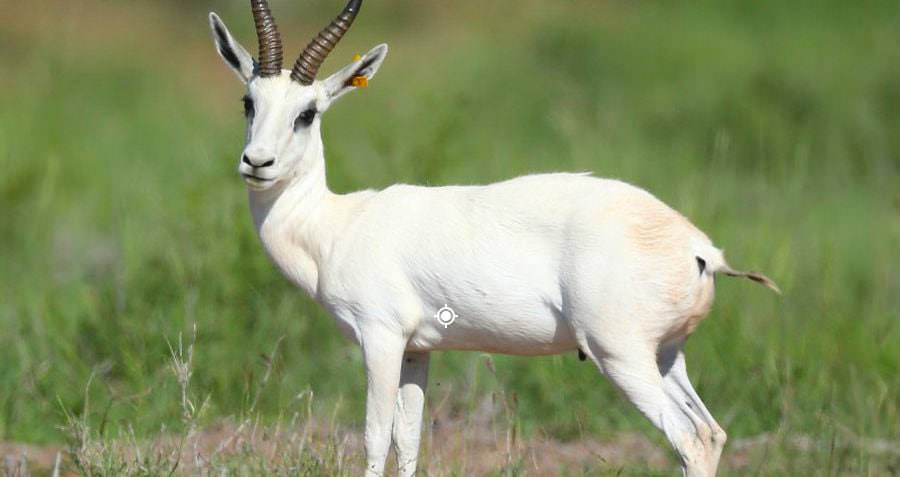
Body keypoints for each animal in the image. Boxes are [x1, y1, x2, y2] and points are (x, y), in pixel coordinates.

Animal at [207, 1, 779, 475]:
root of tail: (700, 249)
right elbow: (408, 441)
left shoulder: (381, 338)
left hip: (621, 356)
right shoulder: (418, 350)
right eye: (248, 101)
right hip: (666, 357)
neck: (335, 226)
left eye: (307, 113)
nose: (257, 163)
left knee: (690, 440)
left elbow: (372, 439)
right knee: (712, 432)